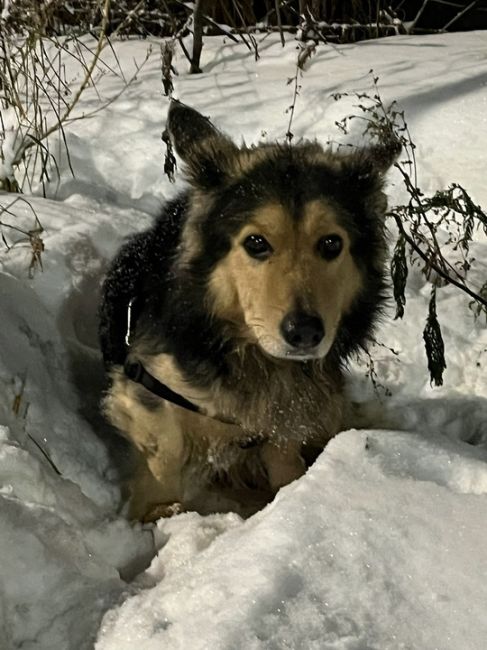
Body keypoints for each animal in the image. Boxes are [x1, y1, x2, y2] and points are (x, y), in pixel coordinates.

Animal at [99, 100, 400, 516]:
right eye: (256, 243)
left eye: (331, 244)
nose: (305, 332)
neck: (250, 354)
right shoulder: (146, 384)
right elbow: (166, 447)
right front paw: (156, 512)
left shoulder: (292, 409)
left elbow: (284, 450)